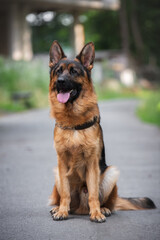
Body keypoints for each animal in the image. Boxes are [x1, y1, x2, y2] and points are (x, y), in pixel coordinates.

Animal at [48, 40, 155, 222]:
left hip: (111, 173)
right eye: (58, 71)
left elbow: (93, 193)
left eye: (74, 71)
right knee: (64, 198)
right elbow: (65, 194)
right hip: (57, 174)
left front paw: (96, 213)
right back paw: (59, 208)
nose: (60, 81)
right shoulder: (61, 163)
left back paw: (103, 209)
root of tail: (81, 209)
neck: (73, 120)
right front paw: (62, 211)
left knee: (106, 201)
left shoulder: (92, 164)